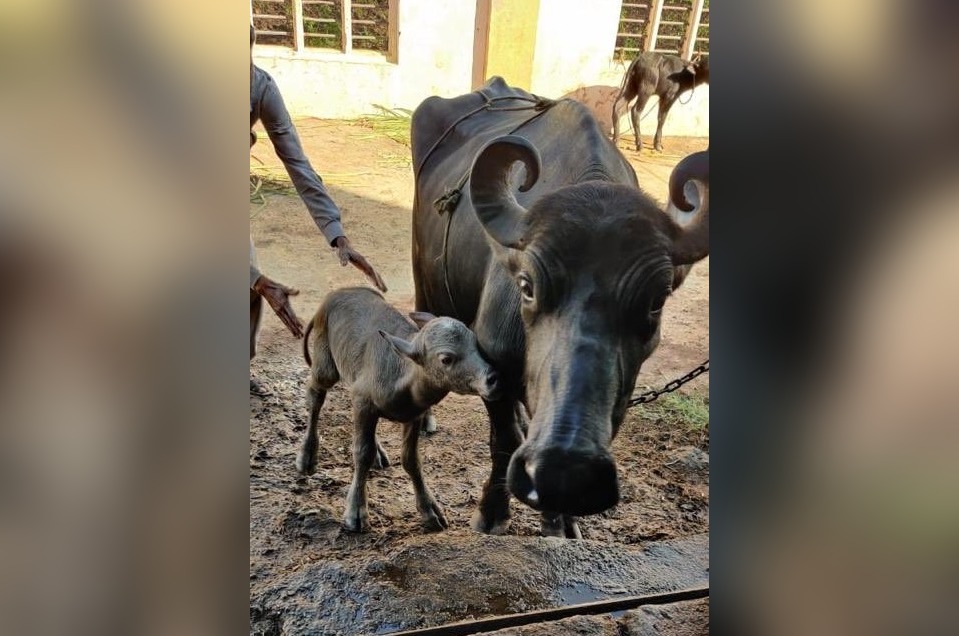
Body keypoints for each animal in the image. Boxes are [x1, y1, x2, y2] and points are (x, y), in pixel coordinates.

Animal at [297, 287, 500, 533]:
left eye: (476, 344)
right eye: (446, 358)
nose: (492, 378)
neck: (402, 377)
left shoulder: (414, 415)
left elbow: (410, 459)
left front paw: (430, 512)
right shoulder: (363, 401)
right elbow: (361, 453)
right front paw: (356, 512)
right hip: (325, 364)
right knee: (315, 394)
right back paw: (307, 457)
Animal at [410, 77, 709, 538]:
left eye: (656, 301)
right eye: (526, 286)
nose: (565, 472)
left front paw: (561, 522)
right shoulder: (491, 361)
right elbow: (503, 442)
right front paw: (491, 513)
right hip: (421, 277)